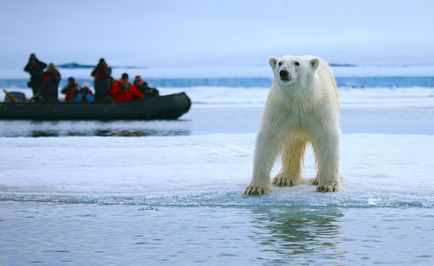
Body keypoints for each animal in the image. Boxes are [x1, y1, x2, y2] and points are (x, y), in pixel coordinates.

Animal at [244, 55, 342, 195]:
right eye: (280, 63)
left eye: (297, 63)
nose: (284, 72)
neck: (300, 100)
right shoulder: (280, 109)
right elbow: (268, 138)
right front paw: (255, 188)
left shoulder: (320, 108)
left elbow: (326, 138)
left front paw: (328, 185)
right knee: (292, 146)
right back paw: (284, 178)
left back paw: (317, 178)